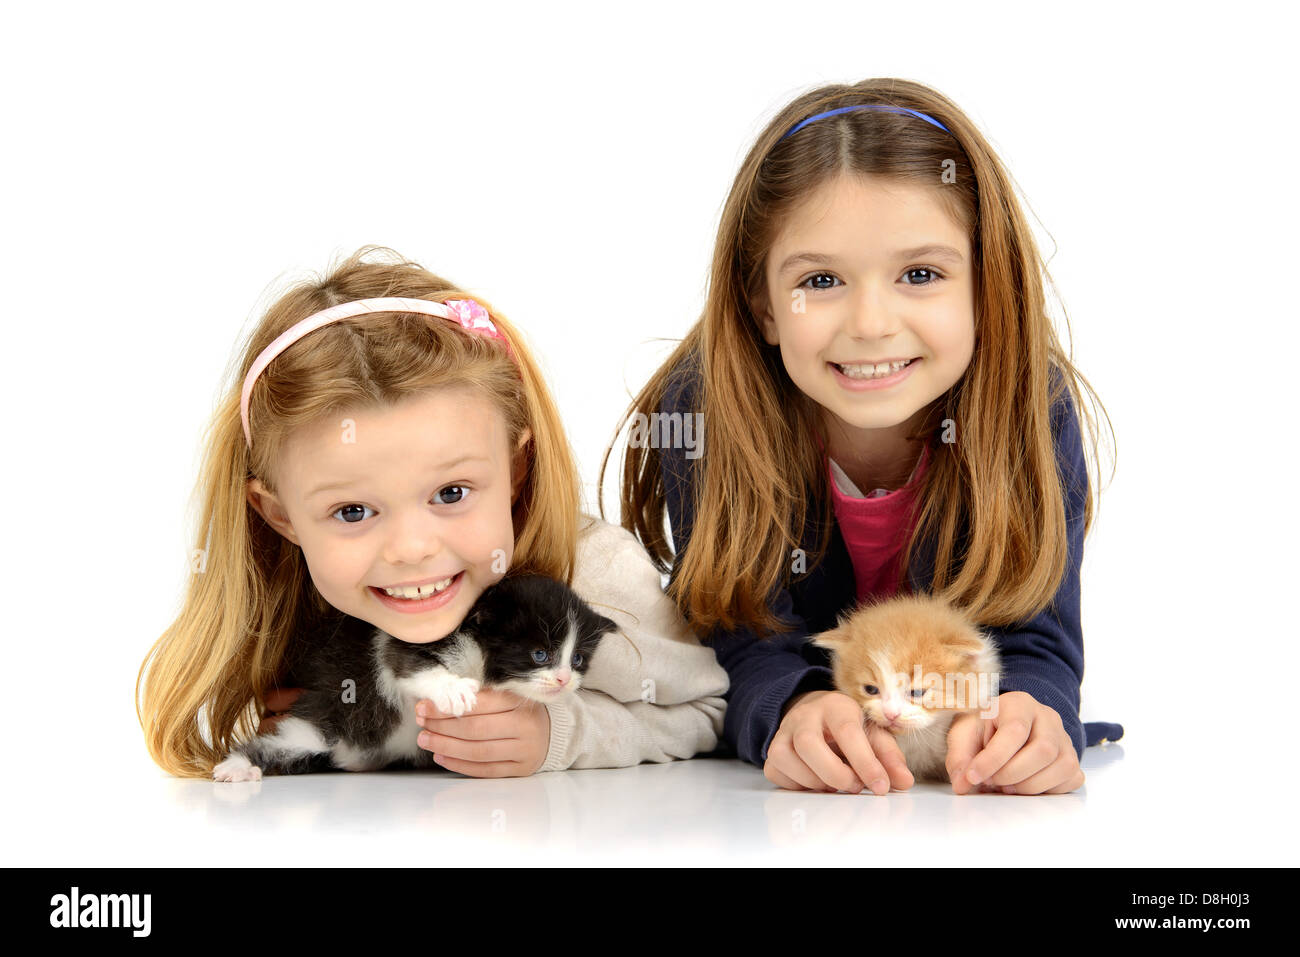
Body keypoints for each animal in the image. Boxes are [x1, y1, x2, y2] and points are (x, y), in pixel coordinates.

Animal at [213, 572, 618, 780]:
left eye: (578, 659)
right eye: (540, 655)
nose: (564, 679)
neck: (477, 650)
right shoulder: (403, 641)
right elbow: (408, 665)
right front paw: (454, 691)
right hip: (318, 724)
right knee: (282, 742)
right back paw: (237, 767)